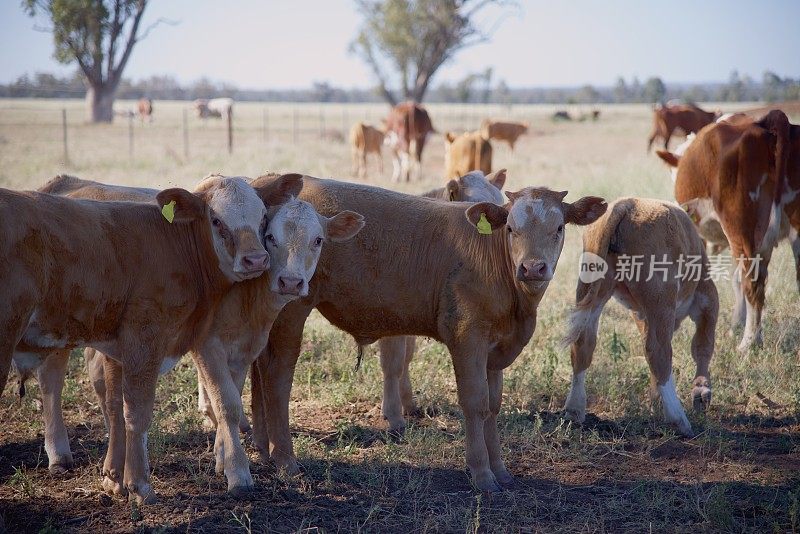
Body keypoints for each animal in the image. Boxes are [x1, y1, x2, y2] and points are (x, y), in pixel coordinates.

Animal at [250, 176, 608, 494]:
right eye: (511, 229)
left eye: (559, 228)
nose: (533, 268)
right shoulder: (467, 337)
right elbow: (475, 403)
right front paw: (482, 474)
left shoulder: (494, 350)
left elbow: (493, 406)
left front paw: (501, 470)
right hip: (292, 307)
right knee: (277, 377)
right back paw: (285, 460)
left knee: (258, 368)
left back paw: (263, 449)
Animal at [564, 199, 720, 438]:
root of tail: (627, 204)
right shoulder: (707, 298)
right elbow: (703, 345)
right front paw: (701, 392)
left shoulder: (642, 314)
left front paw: (656, 400)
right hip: (661, 296)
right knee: (658, 351)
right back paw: (678, 419)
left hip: (593, 286)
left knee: (583, 344)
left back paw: (574, 409)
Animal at [652, 109, 796, 352]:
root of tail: (767, 122)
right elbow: (736, 279)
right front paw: (736, 323)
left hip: (740, 230)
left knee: (753, 285)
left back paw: (749, 343)